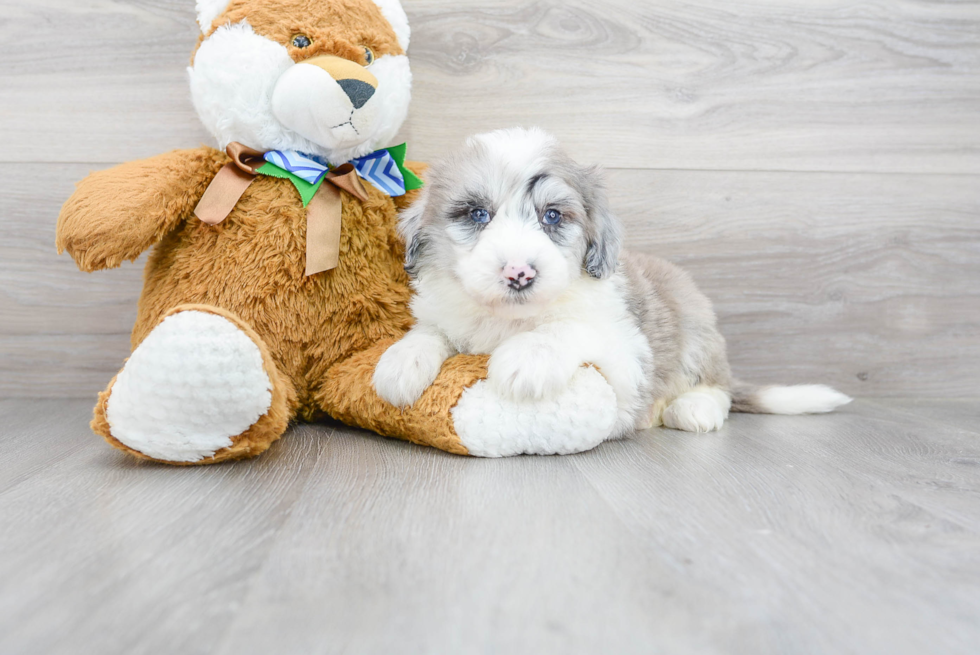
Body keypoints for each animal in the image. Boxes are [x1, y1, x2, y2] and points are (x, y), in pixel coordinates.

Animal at [376, 127, 848, 436]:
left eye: (552, 216)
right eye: (477, 214)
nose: (519, 272)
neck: (510, 319)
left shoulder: (627, 357)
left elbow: (568, 328)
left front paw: (529, 357)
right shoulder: (446, 313)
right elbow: (429, 331)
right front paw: (400, 362)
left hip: (696, 327)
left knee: (721, 389)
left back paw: (694, 408)